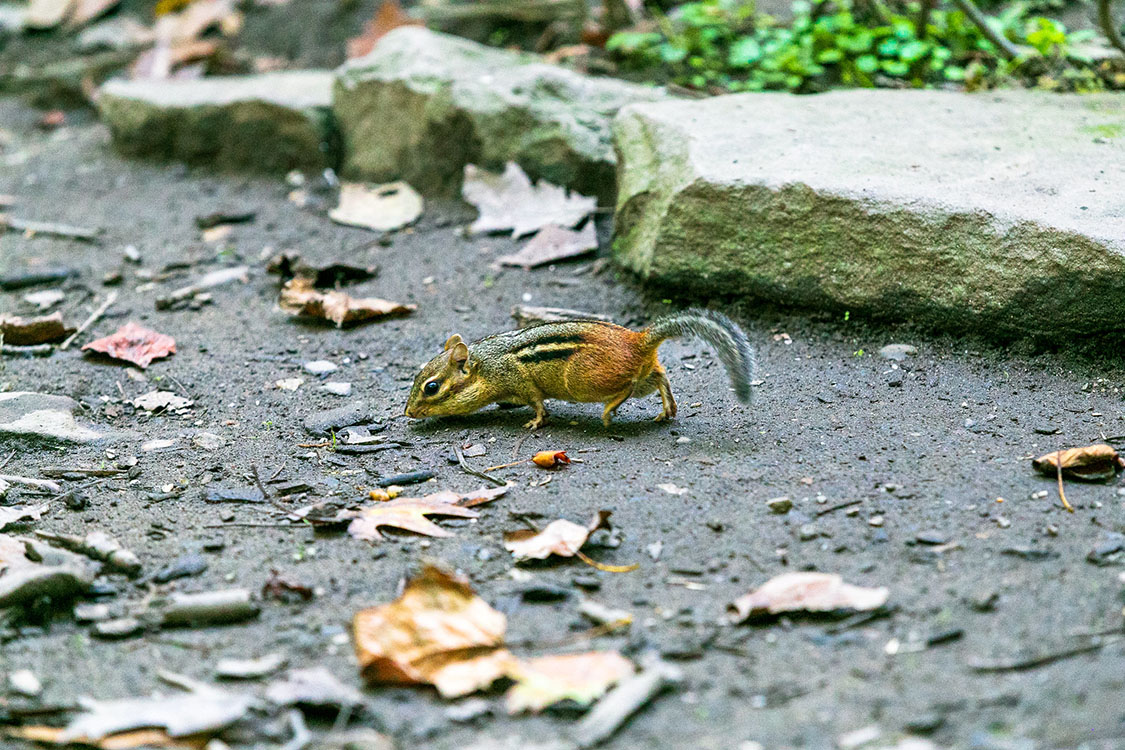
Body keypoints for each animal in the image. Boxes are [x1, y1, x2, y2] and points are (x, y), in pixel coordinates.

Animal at [404, 309, 756, 430]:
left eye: (431, 387)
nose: (408, 412)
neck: (486, 364)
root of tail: (638, 340)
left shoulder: (519, 381)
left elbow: (537, 403)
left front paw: (535, 421)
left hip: (582, 382)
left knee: (628, 386)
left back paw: (609, 412)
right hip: (642, 373)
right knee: (659, 376)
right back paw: (667, 410)